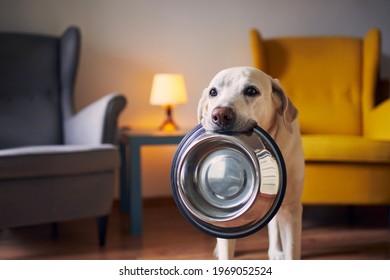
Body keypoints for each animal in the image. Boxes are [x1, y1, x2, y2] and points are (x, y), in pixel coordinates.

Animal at [198, 66, 304, 260]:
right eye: (213, 92)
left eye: (251, 91)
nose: (220, 115)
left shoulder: (291, 208)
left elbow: (292, 250)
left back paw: (275, 251)